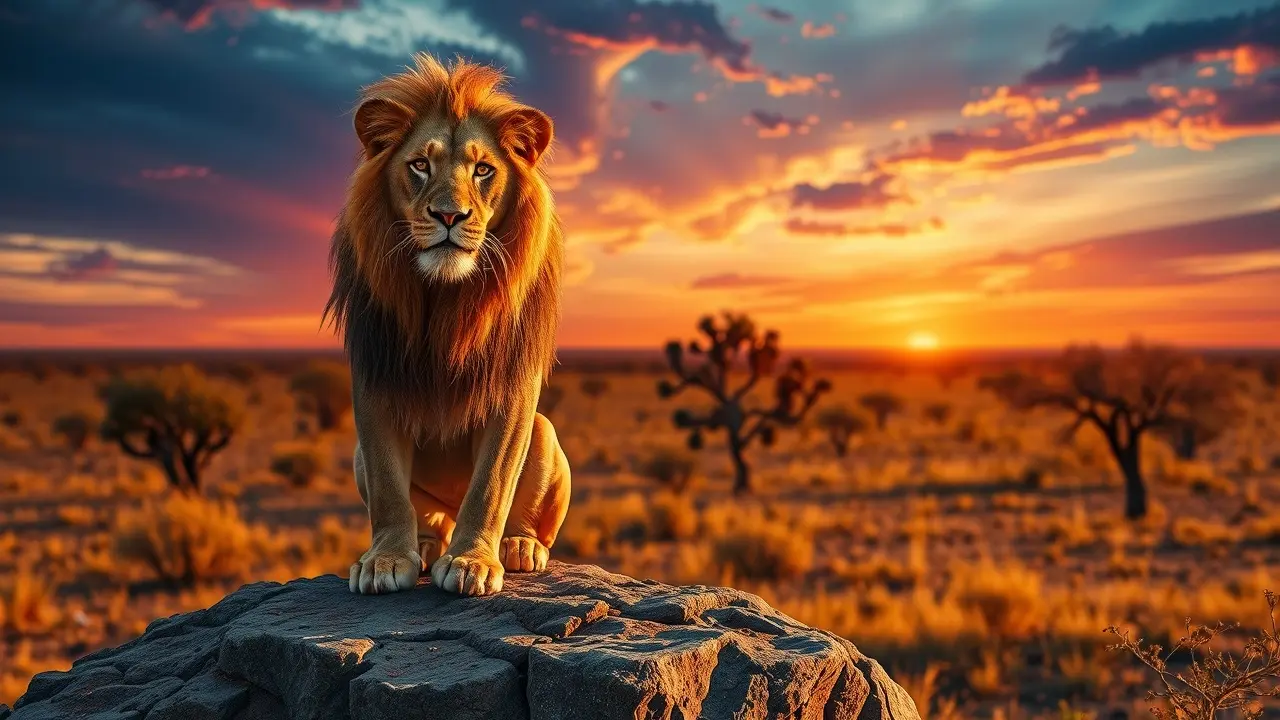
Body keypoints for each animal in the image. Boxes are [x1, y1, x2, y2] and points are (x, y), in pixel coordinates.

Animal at [323, 54, 570, 597]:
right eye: (420, 165)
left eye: (483, 169)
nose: (450, 216)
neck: (443, 295)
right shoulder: (375, 376)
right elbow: (389, 488)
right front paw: (385, 560)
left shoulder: (513, 388)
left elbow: (491, 485)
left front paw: (473, 561)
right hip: (360, 459)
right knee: (429, 517)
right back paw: (426, 545)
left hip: (544, 432)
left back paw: (518, 547)